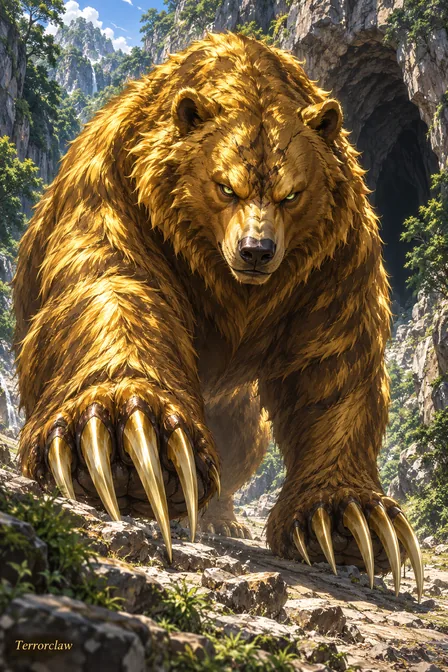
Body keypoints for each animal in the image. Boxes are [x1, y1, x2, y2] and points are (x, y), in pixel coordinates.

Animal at [13, 32, 423, 599]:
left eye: (291, 193)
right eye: (226, 186)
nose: (256, 251)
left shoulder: (331, 257)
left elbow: (334, 364)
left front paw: (349, 519)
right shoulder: (122, 197)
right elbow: (111, 288)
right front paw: (125, 438)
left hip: (238, 402)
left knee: (244, 438)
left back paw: (224, 517)